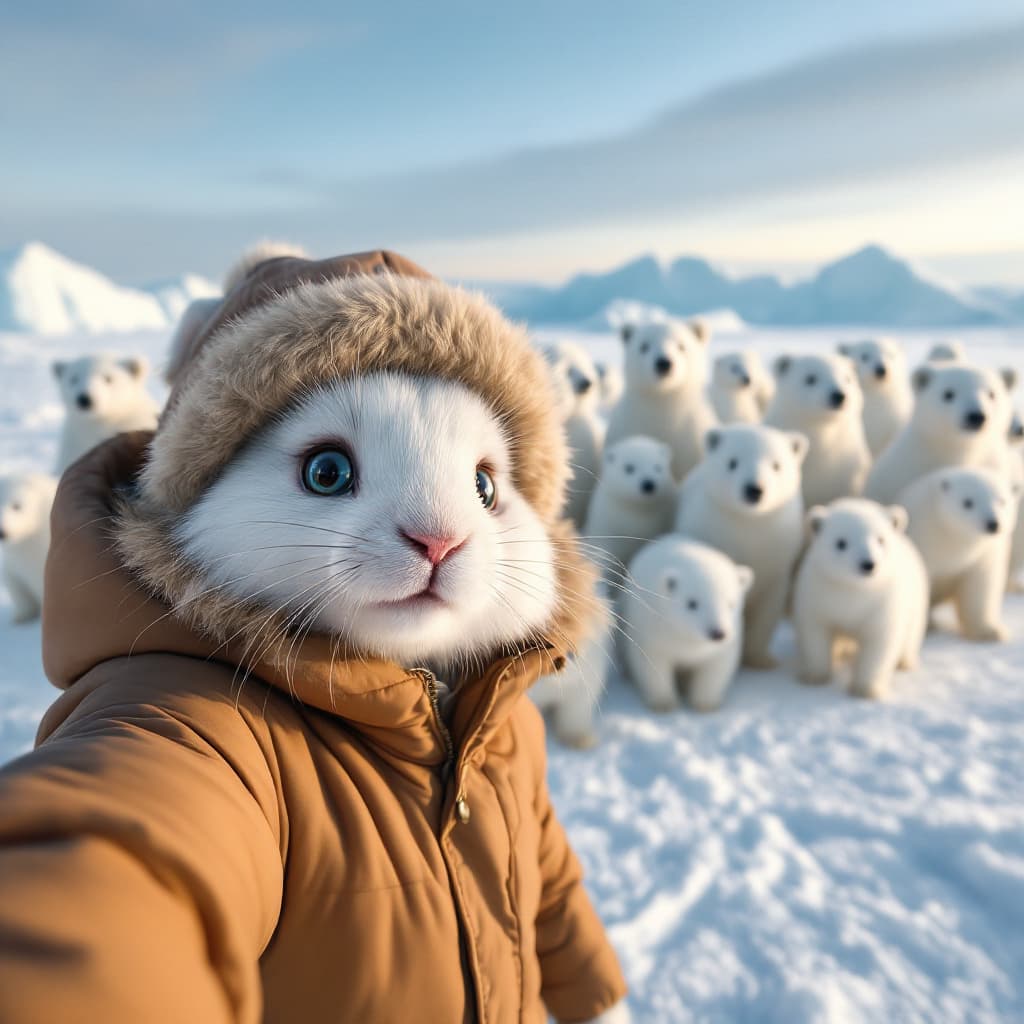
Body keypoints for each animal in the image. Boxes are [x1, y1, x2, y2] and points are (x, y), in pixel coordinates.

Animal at [622, 536, 753, 712]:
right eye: (692, 603)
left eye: (731, 604)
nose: (717, 633)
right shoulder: (652, 628)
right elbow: (652, 663)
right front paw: (663, 703)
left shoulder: (727, 640)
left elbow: (715, 666)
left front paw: (705, 703)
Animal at [675, 423, 808, 669]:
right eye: (732, 462)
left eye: (776, 465)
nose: (754, 489)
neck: (748, 525)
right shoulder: (707, 528)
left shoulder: (777, 561)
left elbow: (767, 610)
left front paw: (761, 659)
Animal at [793, 498, 928, 700]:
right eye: (841, 543)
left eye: (880, 539)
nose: (868, 564)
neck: (856, 590)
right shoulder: (818, 594)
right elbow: (816, 634)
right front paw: (814, 676)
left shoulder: (884, 605)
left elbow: (878, 644)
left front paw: (866, 690)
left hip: (916, 600)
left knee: (911, 633)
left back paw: (905, 662)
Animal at [899, 466, 1017, 642]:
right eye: (968, 502)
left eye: (1001, 501)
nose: (993, 524)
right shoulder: (923, 537)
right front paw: (928, 626)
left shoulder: (985, 554)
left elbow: (980, 586)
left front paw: (991, 631)